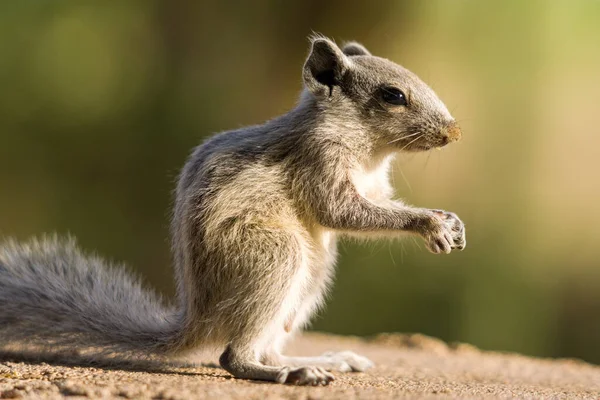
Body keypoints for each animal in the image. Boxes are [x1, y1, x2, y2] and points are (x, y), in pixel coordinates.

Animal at [0, 36, 464, 386]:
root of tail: (199, 321)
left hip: (311, 278)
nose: (454, 132)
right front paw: (428, 223)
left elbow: (377, 205)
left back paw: (316, 362)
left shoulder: (374, 186)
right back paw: (289, 374)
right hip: (275, 255)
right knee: (233, 358)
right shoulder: (319, 163)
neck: (368, 150)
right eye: (393, 95)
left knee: (265, 347)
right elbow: (342, 213)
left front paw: (452, 222)